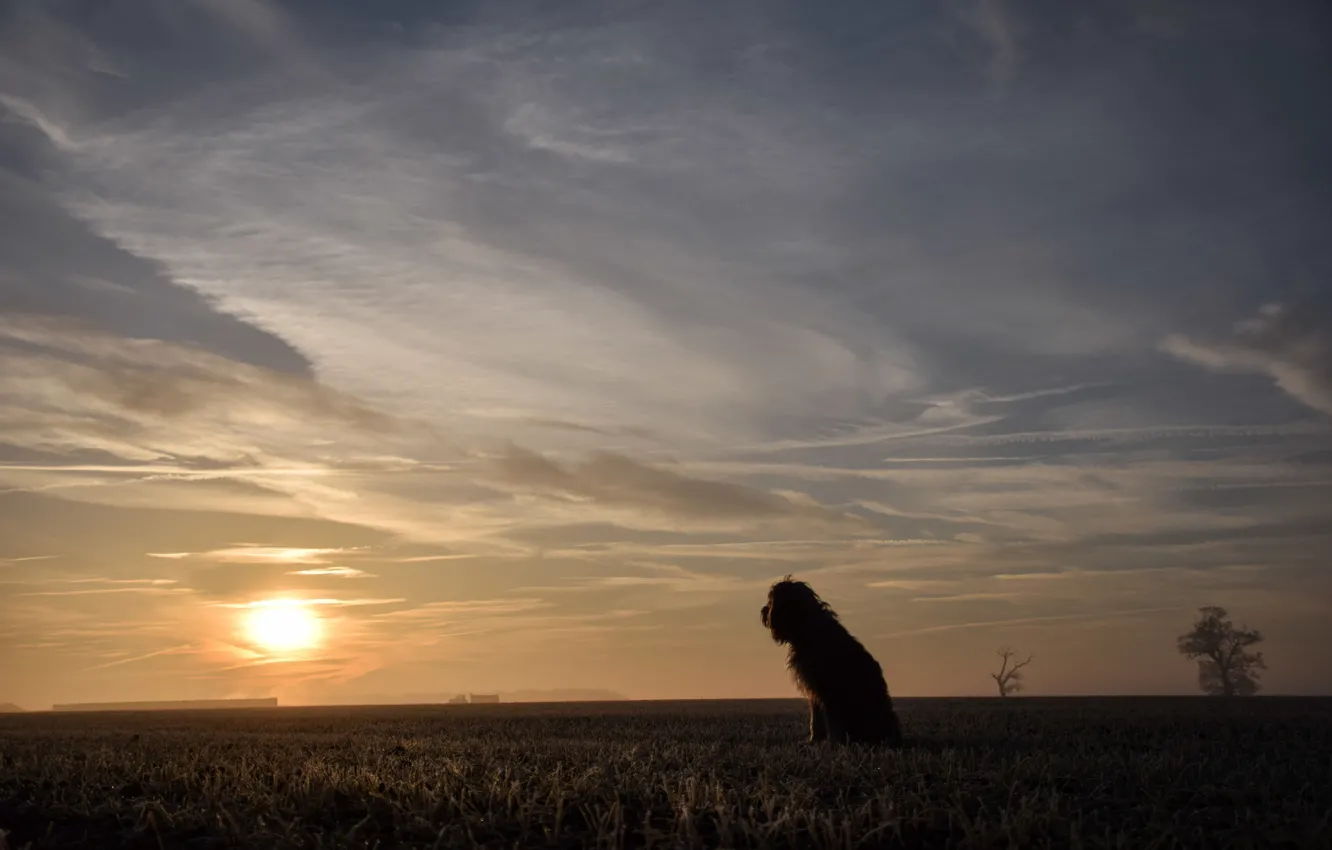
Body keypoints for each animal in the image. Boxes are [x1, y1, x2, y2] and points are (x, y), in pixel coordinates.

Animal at [761, 575, 905, 751]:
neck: (807, 627)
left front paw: (834, 743)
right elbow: (816, 719)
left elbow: (833, 722)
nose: (763, 610)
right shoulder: (814, 691)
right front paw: (814, 741)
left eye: (771, 600)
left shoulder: (828, 690)